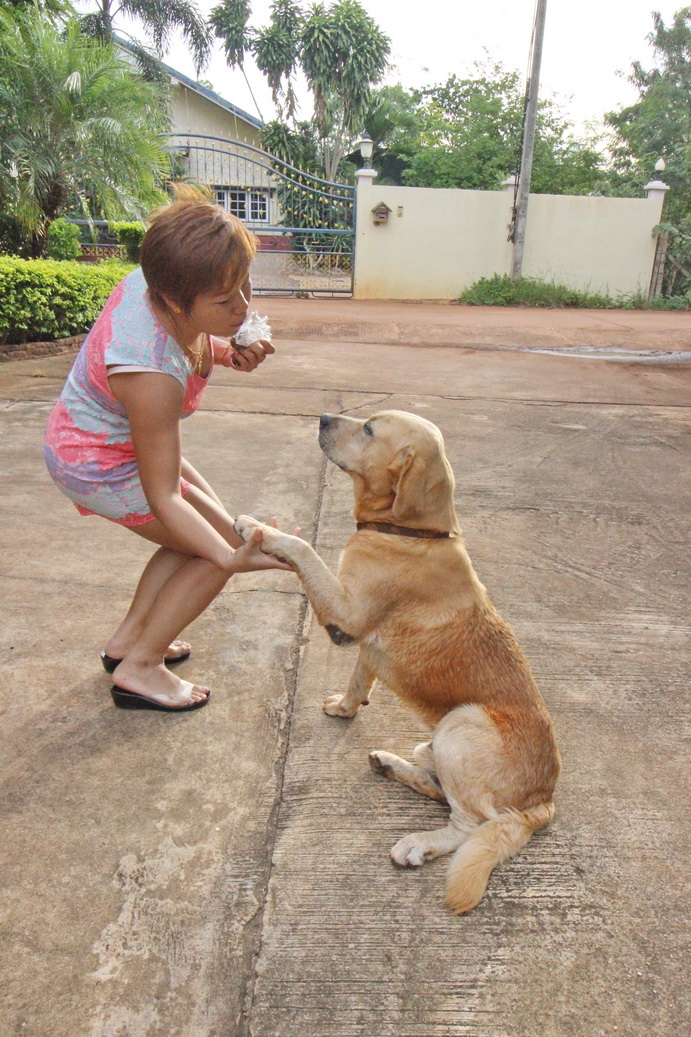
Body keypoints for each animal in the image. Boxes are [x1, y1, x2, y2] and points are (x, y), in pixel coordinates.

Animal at [234, 410, 560, 914]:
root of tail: (543, 801)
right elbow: (358, 680)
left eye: (369, 428)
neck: (410, 532)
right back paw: (391, 764)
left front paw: (258, 528)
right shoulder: (363, 640)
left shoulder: (347, 616)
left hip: (461, 724)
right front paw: (345, 708)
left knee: (469, 824)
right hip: (438, 740)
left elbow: (302, 549)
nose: (323, 416)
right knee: (439, 785)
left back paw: (418, 843)